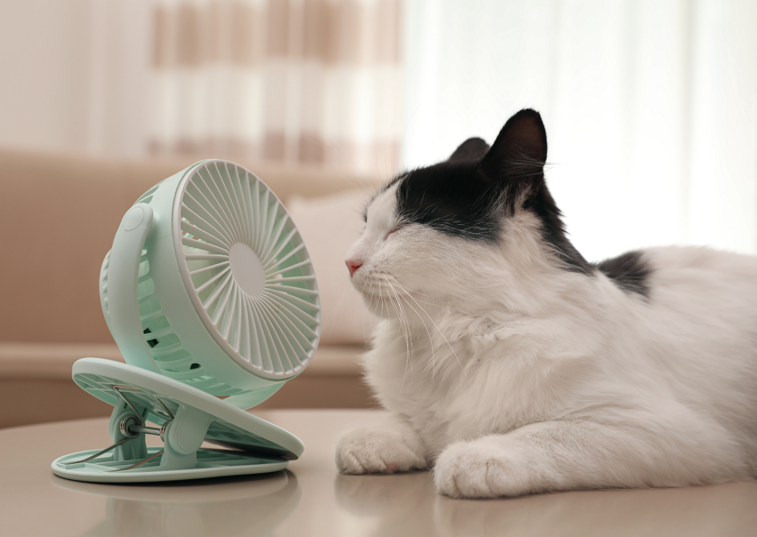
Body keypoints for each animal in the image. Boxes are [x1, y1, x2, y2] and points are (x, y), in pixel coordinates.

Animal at [334, 109, 756, 498]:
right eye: (367, 224)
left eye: (403, 227)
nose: (348, 261)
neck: (454, 336)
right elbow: (407, 424)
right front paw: (378, 442)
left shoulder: (665, 432)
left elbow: (544, 435)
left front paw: (474, 455)